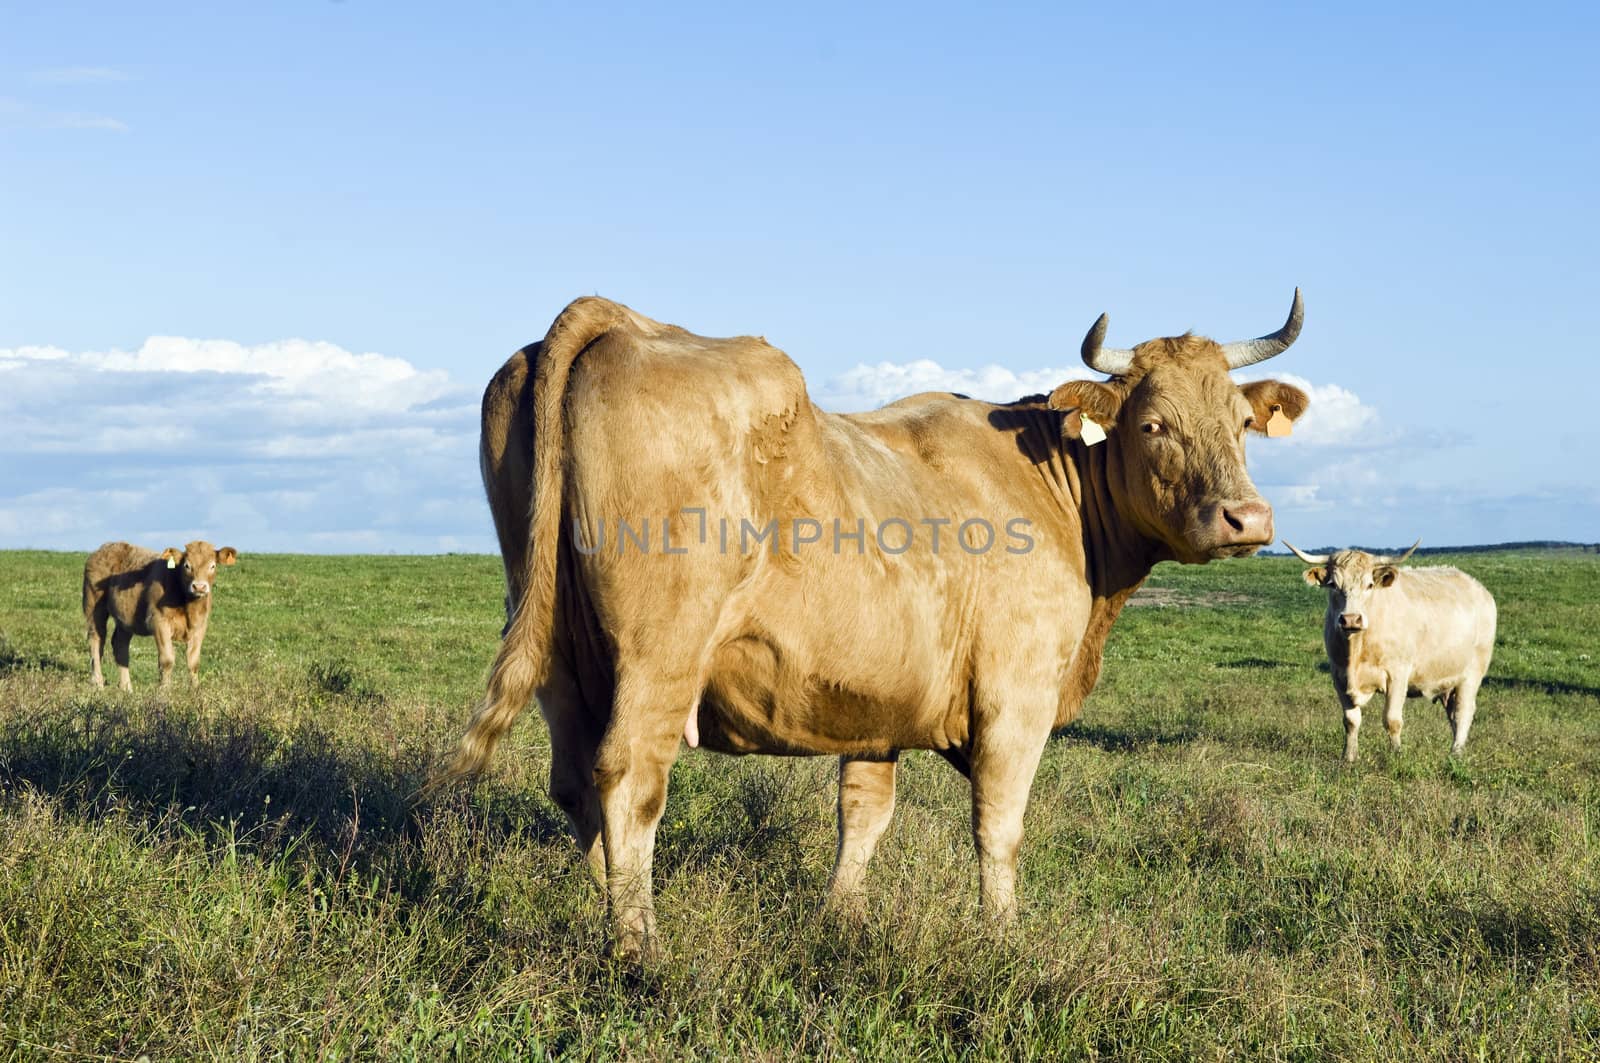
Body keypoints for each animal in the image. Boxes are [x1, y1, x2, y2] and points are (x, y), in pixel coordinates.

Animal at [84, 541, 238, 688]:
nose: (199, 587)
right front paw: (164, 690)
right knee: (96, 640)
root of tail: (105, 547)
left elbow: (193, 661)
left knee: (120, 644)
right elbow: (167, 659)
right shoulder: (159, 621)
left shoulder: (200, 626)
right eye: (187, 566)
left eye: (212, 566)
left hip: (125, 618)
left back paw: (126, 688)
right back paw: (97, 682)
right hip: (94, 607)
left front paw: (195, 689)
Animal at [441, 292, 1312, 960]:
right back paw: (638, 945)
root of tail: (624, 319)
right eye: (1153, 424)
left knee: (574, 783)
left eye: (1241, 421)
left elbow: (863, 813)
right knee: (627, 777)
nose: (1247, 518)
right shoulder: (1017, 695)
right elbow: (999, 824)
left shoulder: (874, 702)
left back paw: (605, 912)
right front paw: (1003, 938)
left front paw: (842, 918)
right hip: (660, 652)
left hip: (557, 649)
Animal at [1286, 544, 1497, 758]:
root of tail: (1477, 587)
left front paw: (1396, 754)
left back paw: (1456, 754)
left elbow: (1392, 720)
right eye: (1333, 585)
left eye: (1370, 585)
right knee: (1453, 714)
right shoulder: (1338, 676)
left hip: (1472, 674)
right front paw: (1349, 756)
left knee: (1463, 713)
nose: (1351, 619)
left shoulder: (1398, 674)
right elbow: (1351, 720)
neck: (1356, 650)